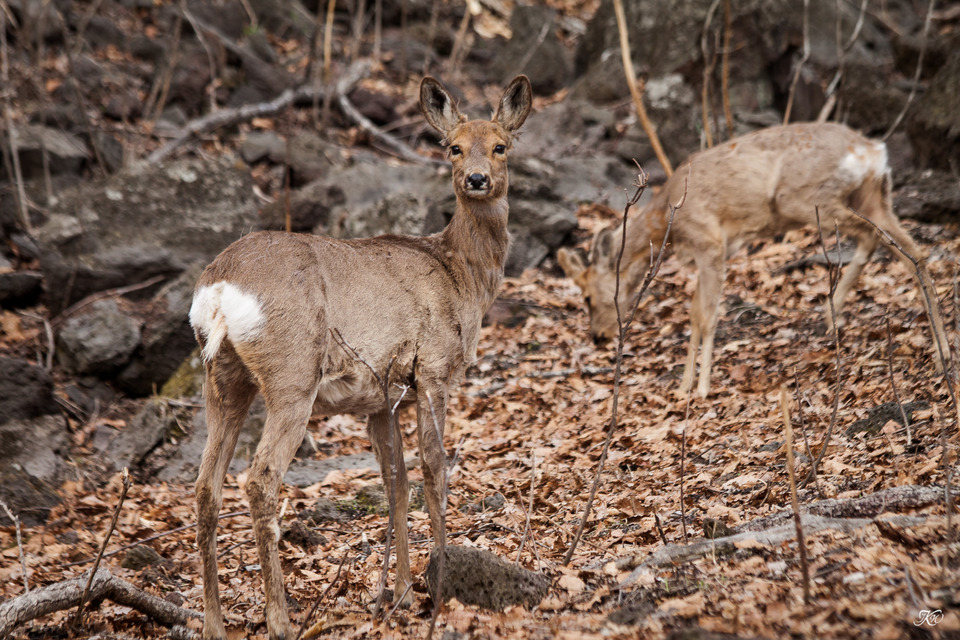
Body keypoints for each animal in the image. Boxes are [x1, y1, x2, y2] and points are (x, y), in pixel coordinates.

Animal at [188, 76, 532, 640]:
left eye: (501, 145)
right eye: (453, 146)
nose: (477, 178)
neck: (460, 273)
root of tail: (218, 290)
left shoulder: (379, 399)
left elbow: (396, 483)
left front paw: (403, 592)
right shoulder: (433, 370)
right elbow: (434, 470)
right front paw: (439, 584)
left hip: (222, 379)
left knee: (205, 487)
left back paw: (215, 624)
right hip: (291, 374)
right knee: (260, 479)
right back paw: (280, 621)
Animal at [560, 122, 948, 398]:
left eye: (587, 297)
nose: (598, 336)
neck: (667, 218)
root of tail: (870, 151)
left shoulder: (709, 241)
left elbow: (707, 315)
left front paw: (701, 389)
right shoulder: (712, 250)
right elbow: (694, 313)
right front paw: (684, 387)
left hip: (807, 199)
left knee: (883, 242)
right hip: (874, 196)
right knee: (913, 252)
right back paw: (937, 350)